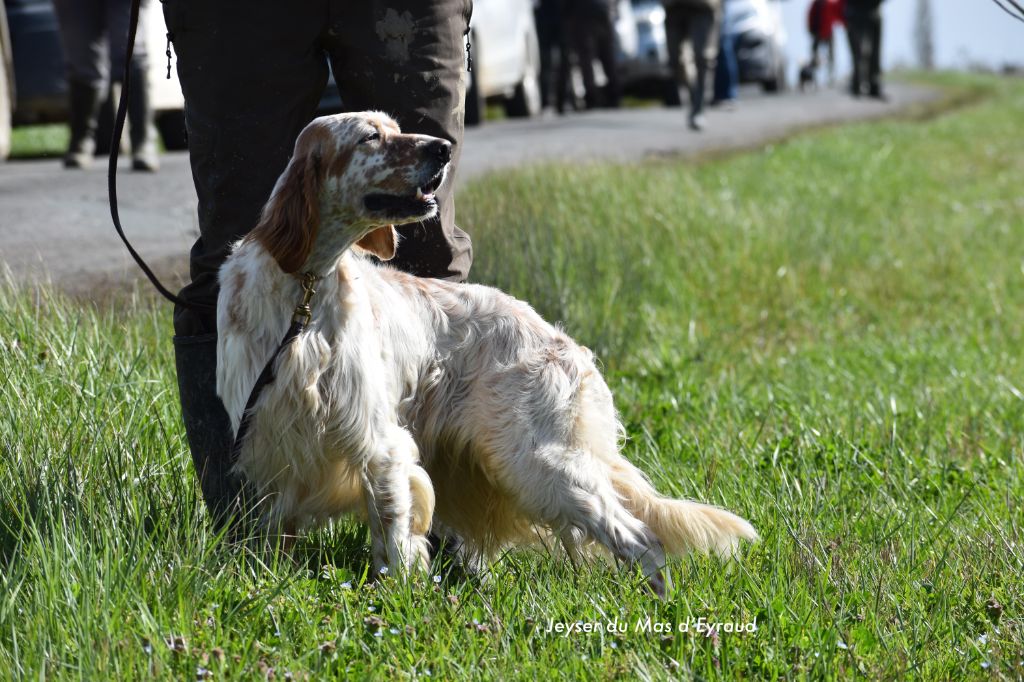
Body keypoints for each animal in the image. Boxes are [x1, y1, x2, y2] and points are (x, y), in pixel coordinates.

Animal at [216, 112, 757, 593]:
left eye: (394, 126)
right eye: (372, 136)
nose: (442, 148)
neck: (304, 287)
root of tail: (569, 347)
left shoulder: (378, 442)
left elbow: (393, 533)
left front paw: (396, 598)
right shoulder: (271, 441)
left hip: (539, 462)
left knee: (641, 538)